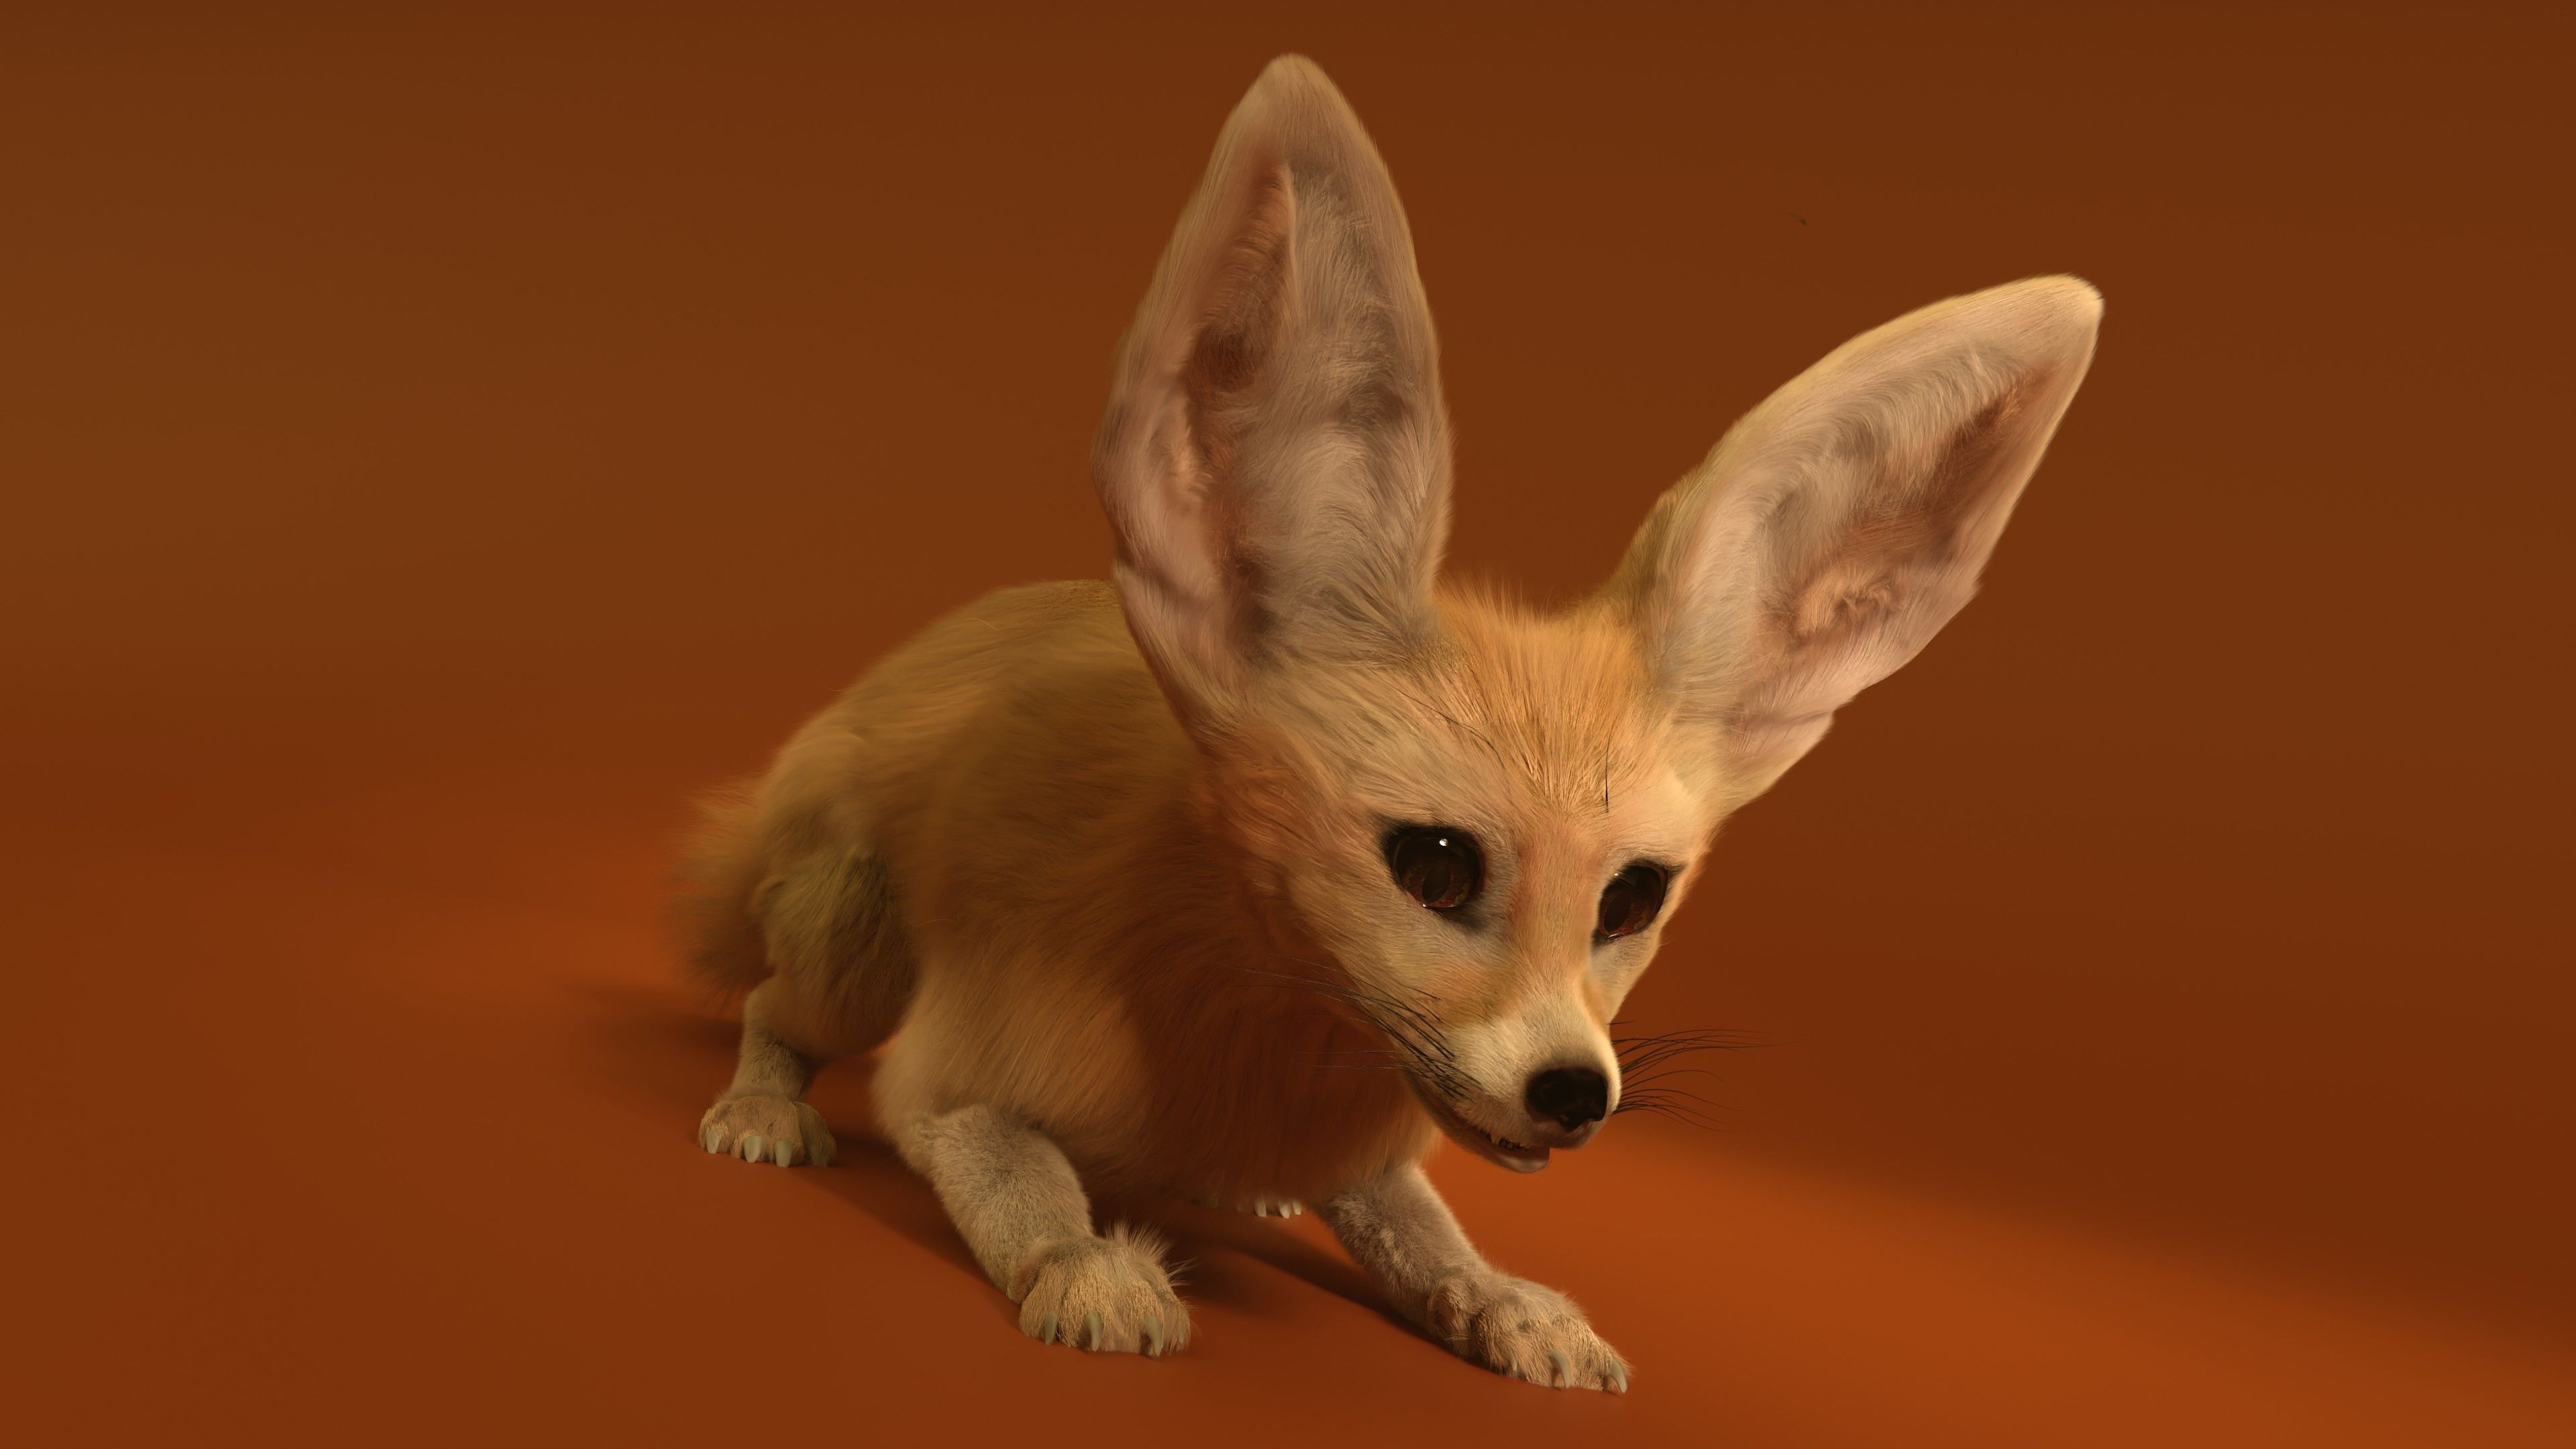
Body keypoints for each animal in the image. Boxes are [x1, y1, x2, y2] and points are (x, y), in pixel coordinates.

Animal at [676, 54, 2100, 1391]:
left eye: (1634, 899)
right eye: (1435, 866)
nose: (1577, 1094)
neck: (1250, 1038)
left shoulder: (1375, 1139)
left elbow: (1428, 1241)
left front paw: (1507, 1302)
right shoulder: (954, 1074)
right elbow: (1022, 1181)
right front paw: (1090, 1267)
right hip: (854, 939)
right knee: (774, 1002)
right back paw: (762, 1107)